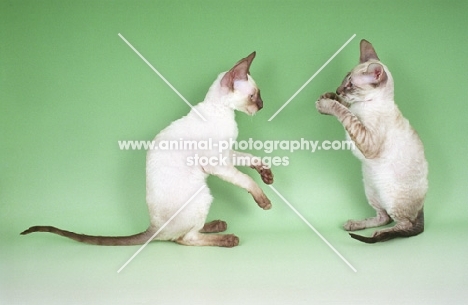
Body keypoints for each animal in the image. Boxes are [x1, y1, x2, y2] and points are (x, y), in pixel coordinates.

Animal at [22, 51, 274, 247]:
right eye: (254, 96)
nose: (262, 106)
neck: (223, 113)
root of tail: (154, 227)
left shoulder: (227, 154)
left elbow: (249, 158)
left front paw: (266, 174)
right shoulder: (217, 163)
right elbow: (246, 180)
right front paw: (264, 200)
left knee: (184, 232)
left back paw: (216, 225)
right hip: (202, 194)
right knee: (184, 238)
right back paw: (228, 238)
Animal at [316, 39, 430, 242]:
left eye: (351, 85)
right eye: (344, 80)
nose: (338, 89)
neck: (364, 104)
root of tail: (421, 209)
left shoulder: (366, 139)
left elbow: (345, 113)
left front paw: (327, 104)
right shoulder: (354, 110)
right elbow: (346, 106)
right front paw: (328, 96)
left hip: (391, 198)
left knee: (404, 224)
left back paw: (379, 234)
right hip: (371, 190)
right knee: (383, 217)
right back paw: (355, 224)